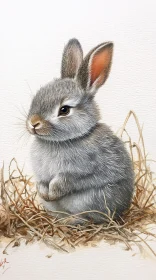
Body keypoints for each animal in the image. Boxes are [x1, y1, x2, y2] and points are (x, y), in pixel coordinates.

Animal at [26, 38, 135, 224]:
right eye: (37, 97)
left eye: (64, 110)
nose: (33, 123)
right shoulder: (41, 174)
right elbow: (41, 183)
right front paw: (44, 193)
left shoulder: (78, 172)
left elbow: (64, 182)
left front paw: (52, 193)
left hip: (93, 199)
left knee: (89, 217)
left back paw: (72, 221)